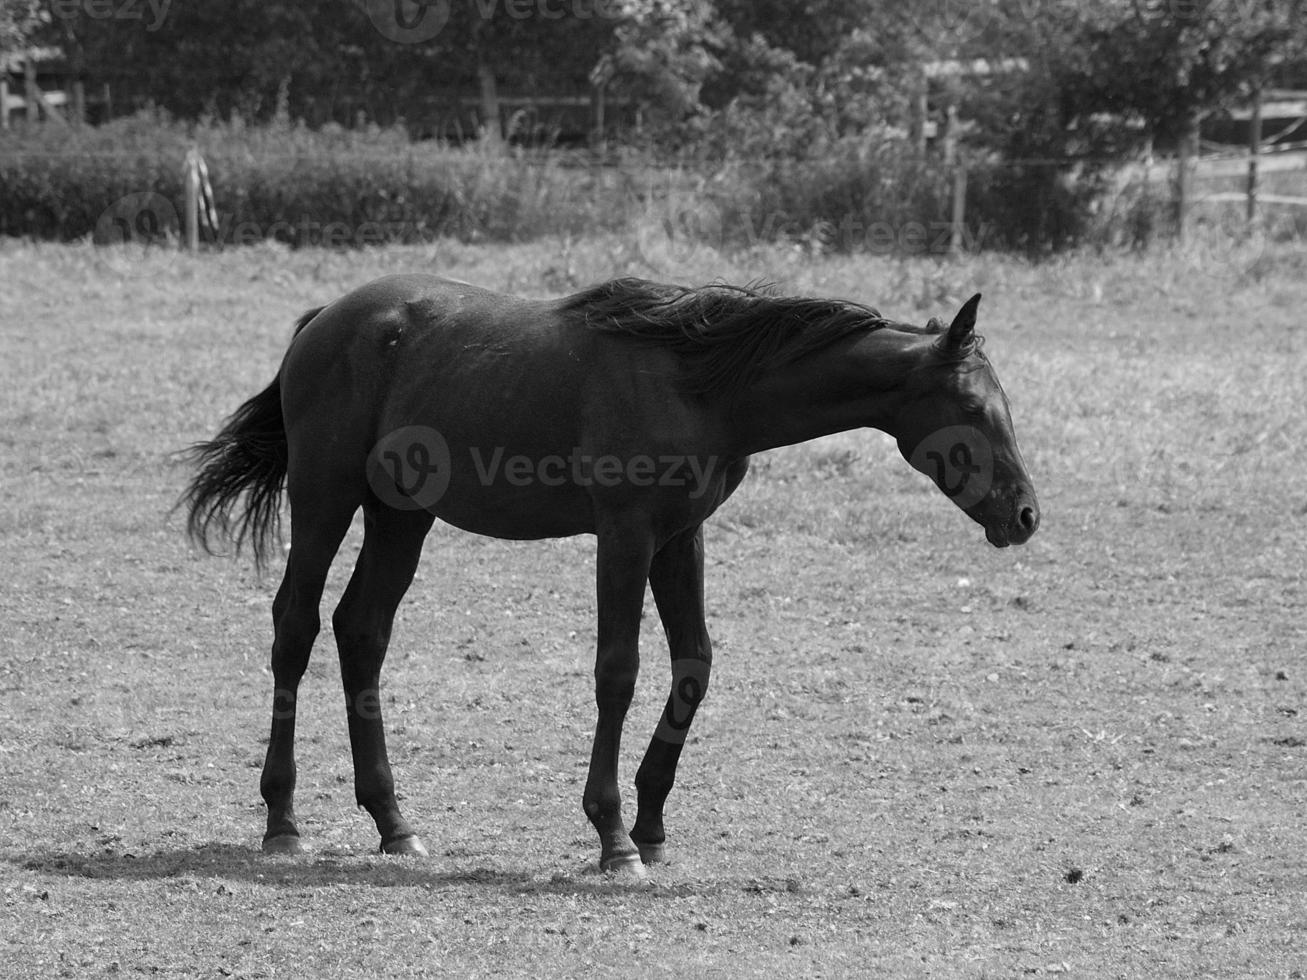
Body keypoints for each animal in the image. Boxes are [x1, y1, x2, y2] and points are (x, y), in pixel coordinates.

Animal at [186, 274, 1040, 872]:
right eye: (971, 405)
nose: (1024, 514)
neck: (700, 387)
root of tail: (327, 319)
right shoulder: (625, 536)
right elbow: (617, 672)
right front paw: (612, 836)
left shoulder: (679, 537)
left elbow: (694, 663)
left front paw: (652, 824)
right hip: (325, 497)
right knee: (295, 625)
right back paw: (282, 821)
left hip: (401, 516)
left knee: (361, 630)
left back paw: (395, 823)